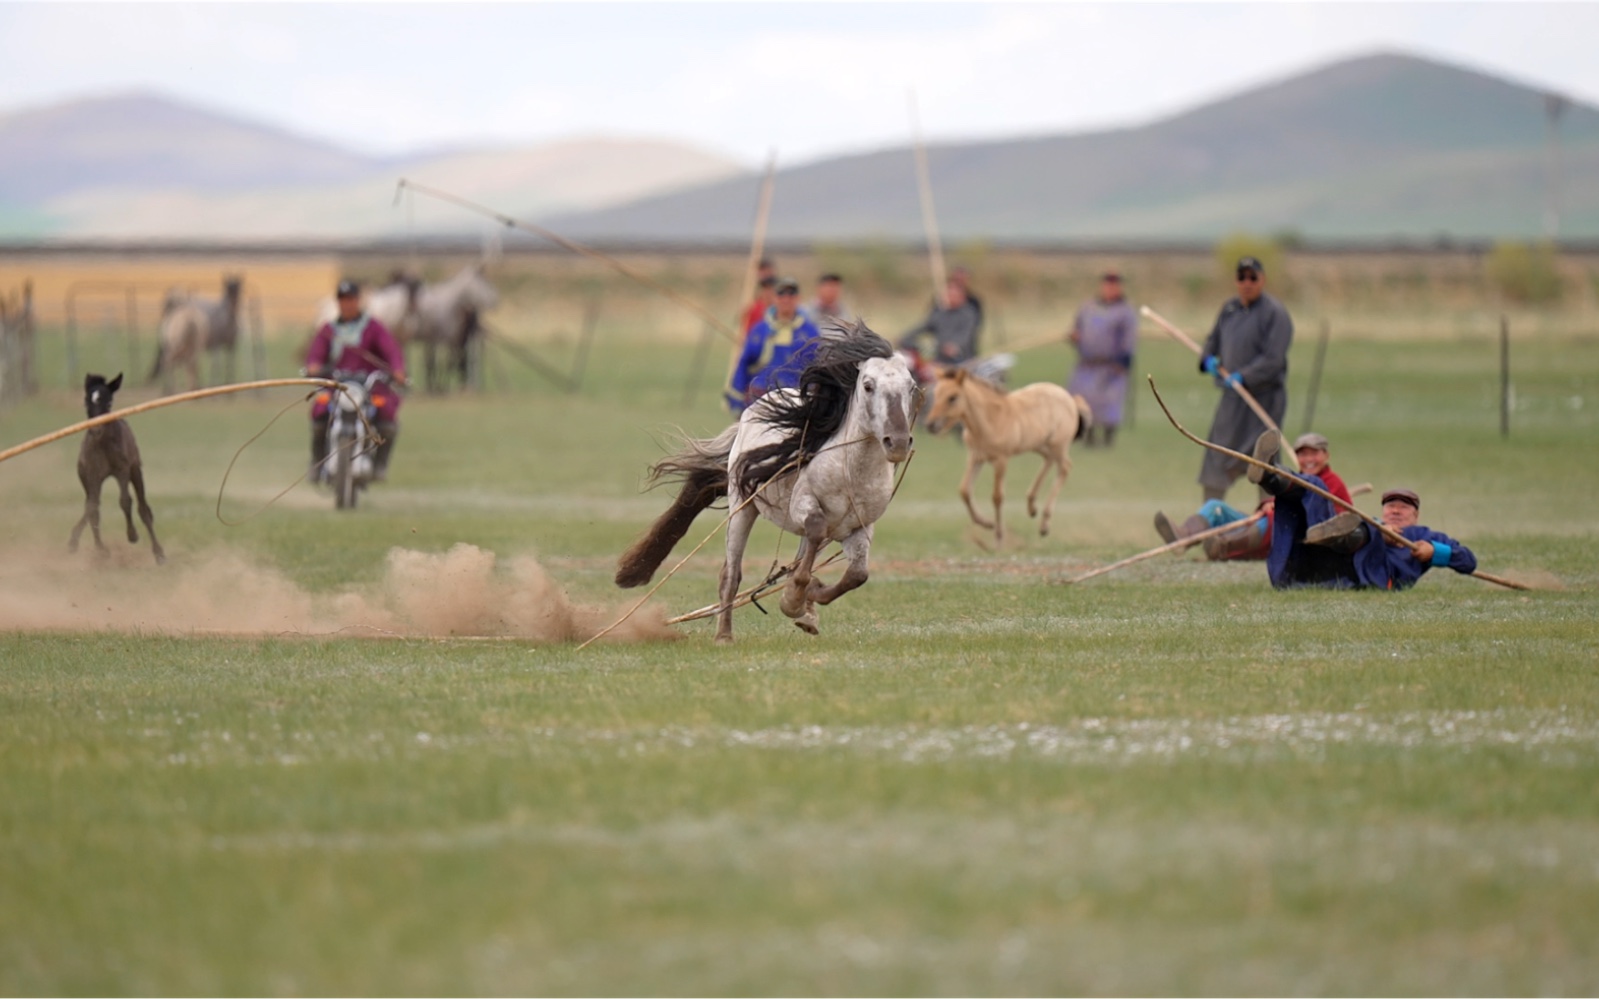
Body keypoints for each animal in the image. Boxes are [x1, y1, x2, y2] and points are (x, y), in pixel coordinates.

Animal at [68, 372, 163, 565]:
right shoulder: (91, 475)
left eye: (109, 403)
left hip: (135, 472)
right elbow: (92, 508)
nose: (96, 430)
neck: (103, 445)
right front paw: (89, 546)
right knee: (93, 506)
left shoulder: (122, 471)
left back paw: (158, 553)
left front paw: (132, 535)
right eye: (86, 402)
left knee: (143, 508)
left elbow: (125, 501)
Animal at [610, 322, 914, 642]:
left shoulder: (857, 528)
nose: (897, 443)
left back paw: (806, 613)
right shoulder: (804, 506)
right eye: (868, 385)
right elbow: (815, 532)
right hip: (741, 508)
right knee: (731, 575)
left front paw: (809, 597)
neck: (850, 473)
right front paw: (793, 598)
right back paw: (724, 635)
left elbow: (856, 575)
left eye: (911, 387)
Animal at [921, 366, 1093, 540]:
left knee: (1065, 467)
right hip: (1040, 444)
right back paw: (1031, 507)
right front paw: (986, 523)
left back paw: (1044, 524)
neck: (991, 420)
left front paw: (999, 534)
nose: (930, 425)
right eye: (936, 394)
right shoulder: (975, 457)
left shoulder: (1001, 460)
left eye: (953, 397)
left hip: (1058, 445)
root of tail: (1070, 398)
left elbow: (997, 497)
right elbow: (964, 490)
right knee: (1049, 460)